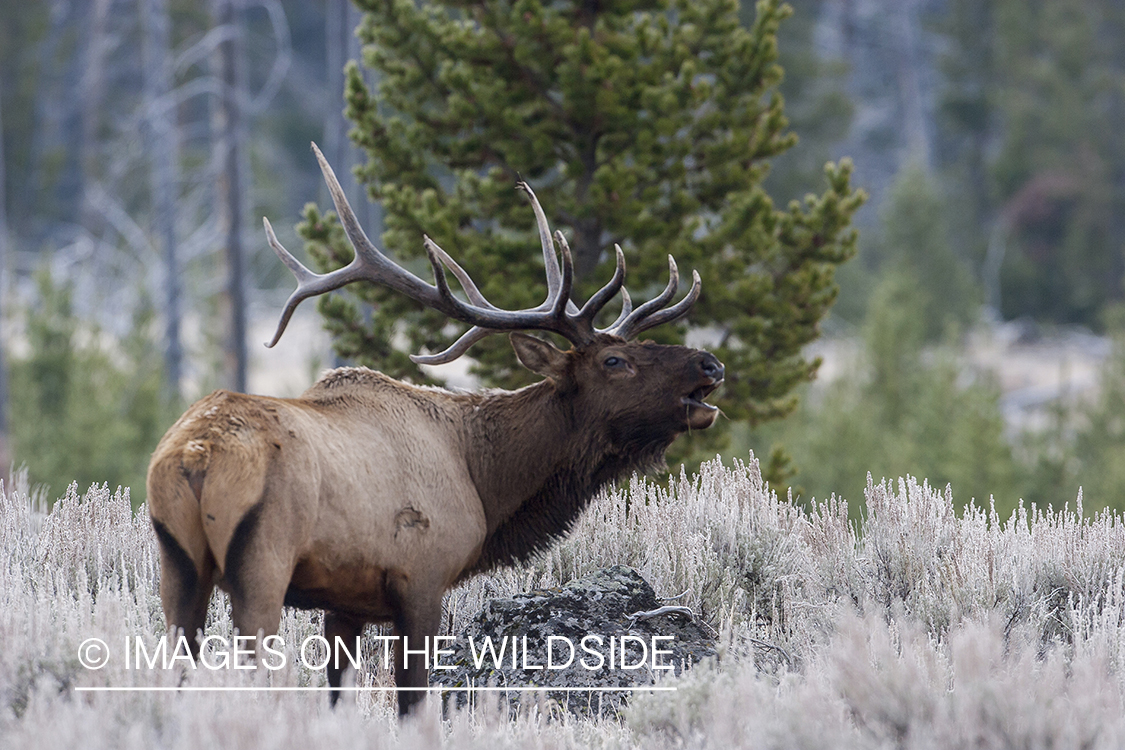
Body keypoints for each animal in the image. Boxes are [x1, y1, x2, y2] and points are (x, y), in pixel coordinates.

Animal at [147, 142, 720, 715]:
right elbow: (415, 701)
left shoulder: (345, 602)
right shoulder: (420, 577)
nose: (709, 364)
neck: (484, 481)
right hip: (262, 561)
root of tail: (195, 457)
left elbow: (338, 695)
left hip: (178, 565)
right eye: (614, 361)